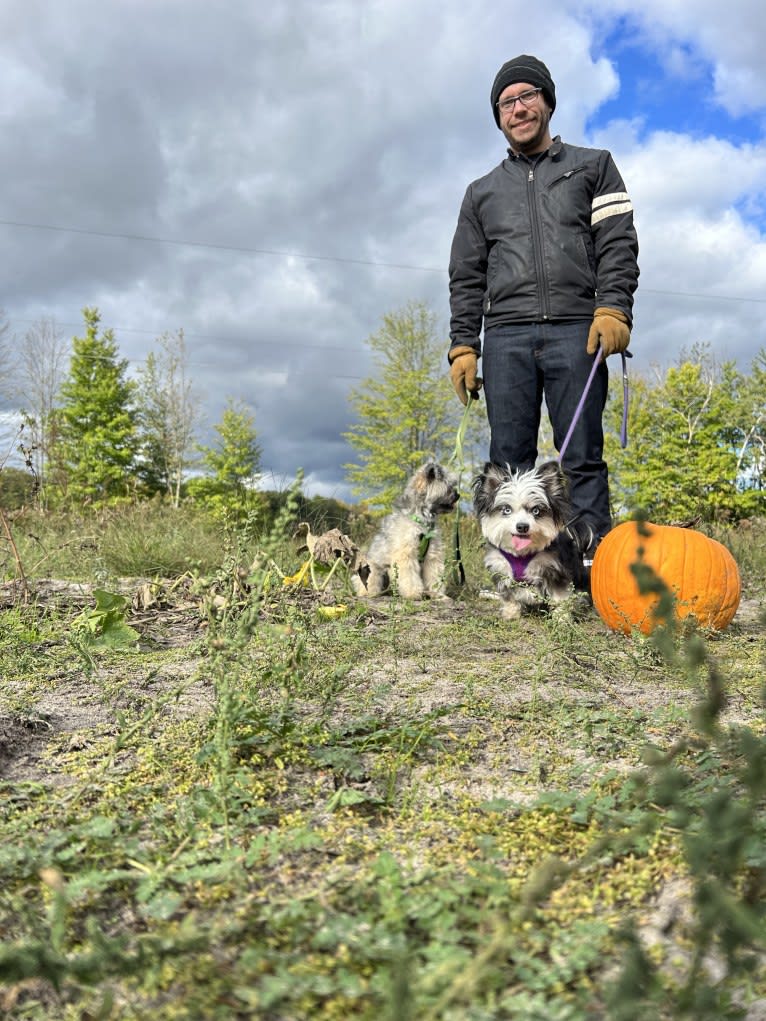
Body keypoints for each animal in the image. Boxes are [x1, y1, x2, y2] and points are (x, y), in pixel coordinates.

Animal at [355, 463, 461, 596]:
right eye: (448, 486)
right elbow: (409, 576)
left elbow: (434, 575)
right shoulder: (406, 554)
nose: (458, 495)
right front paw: (413, 593)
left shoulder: (432, 555)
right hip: (373, 569)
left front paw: (437, 592)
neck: (421, 518)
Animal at [473, 463, 592, 620]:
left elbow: (560, 597)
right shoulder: (501, 569)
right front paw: (511, 615)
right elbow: (508, 596)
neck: (521, 554)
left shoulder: (555, 570)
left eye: (536, 511)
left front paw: (562, 618)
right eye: (507, 510)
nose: (522, 526)